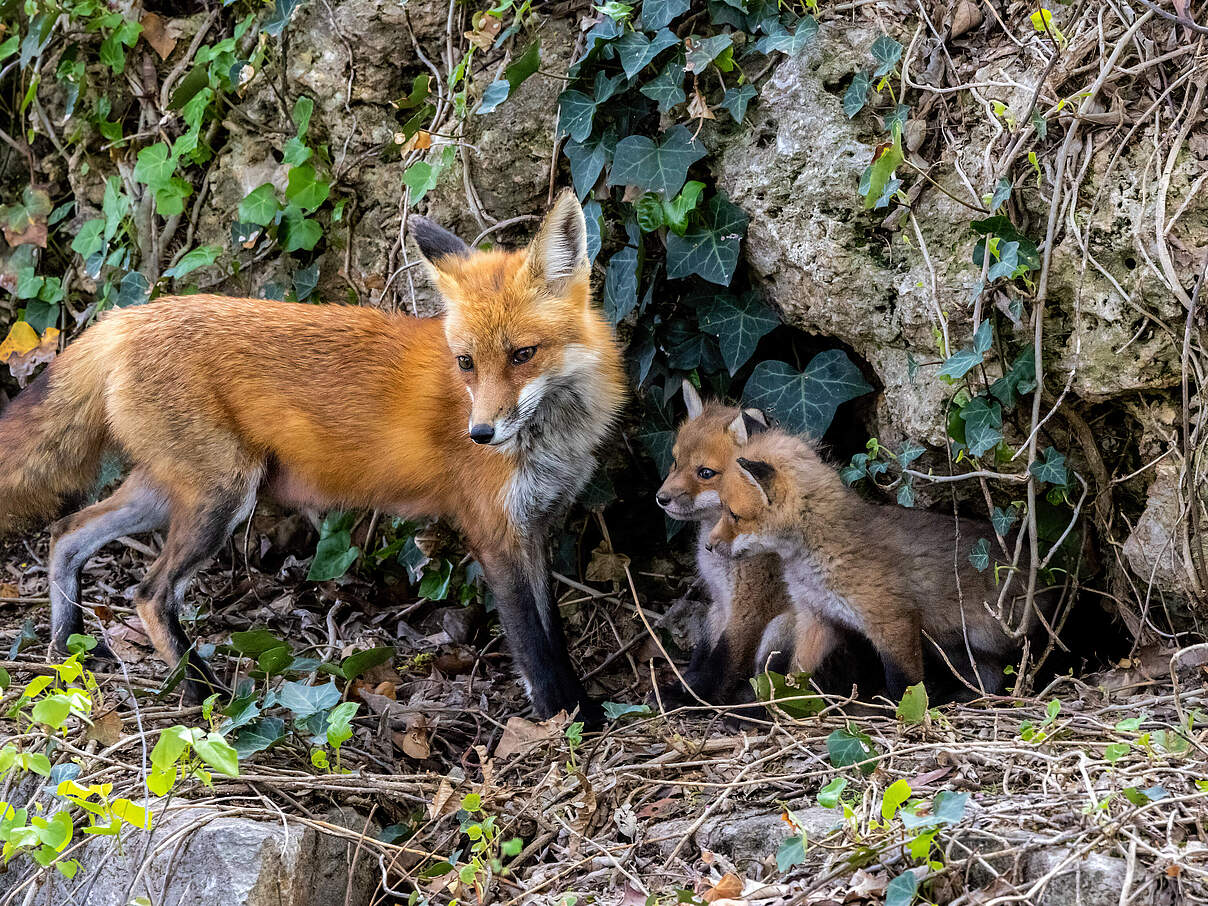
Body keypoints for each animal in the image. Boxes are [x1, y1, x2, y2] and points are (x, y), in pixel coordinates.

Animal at [0, 190, 627, 719]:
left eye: (523, 354)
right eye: (467, 362)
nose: (480, 433)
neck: (553, 434)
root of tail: (127, 316)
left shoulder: (536, 526)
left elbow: (555, 634)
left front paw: (581, 711)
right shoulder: (496, 531)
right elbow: (535, 646)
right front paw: (570, 722)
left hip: (172, 492)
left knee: (66, 534)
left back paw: (66, 651)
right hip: (221, 498)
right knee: (149, 595)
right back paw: (205, 696)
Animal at [707, 427, 1042, 698]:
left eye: (733, 514)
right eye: (722, 509)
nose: (708, 545)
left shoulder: (892, 621)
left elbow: (903, 686)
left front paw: (904, 716)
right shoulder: (818, 617)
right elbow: (794, 675)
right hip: (951, 645)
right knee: (991, 678)